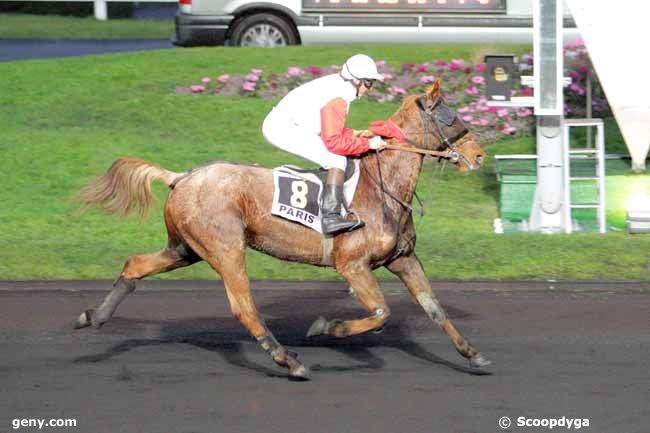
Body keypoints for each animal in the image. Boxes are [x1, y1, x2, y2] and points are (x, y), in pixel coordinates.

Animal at [73, 80, 486, 378]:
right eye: (449, 116)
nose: (479, 155)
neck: (382, 188)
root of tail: (182, 177)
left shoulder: (403, 259)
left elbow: (434, 308)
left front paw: (473, 354)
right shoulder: (352, 264)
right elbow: (381, 312)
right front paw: (325, 327)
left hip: (185, 248)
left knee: (135, 265)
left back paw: (93, 316)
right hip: (226, 248)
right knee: (243, 307)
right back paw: (289, 360)